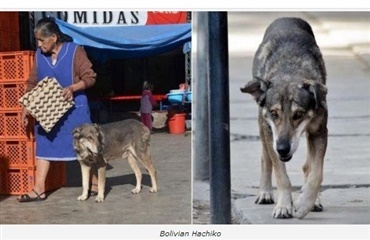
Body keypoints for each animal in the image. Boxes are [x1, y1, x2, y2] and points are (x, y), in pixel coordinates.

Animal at [241, 17, 328, 219]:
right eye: (274, 113)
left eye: (299, 114)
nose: (282, 148)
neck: (290, 72)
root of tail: (287, 18)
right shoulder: (270, 133)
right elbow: (281, 175)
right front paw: (283, 206)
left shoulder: (320, 131)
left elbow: (316, 172)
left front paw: (305, 203)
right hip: (262, 127)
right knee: (265, 159)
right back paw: (265, 193)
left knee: (308, 166)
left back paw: (314, 200)